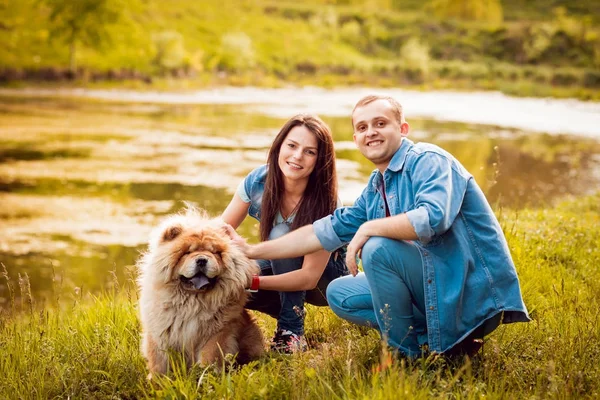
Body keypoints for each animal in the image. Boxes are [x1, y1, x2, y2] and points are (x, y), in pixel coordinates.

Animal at [139, 206, 266, 376]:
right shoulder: (159, 331)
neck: (192, 303)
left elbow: (210, 357)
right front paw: (158, 380)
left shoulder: (217, 333)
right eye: (187, 252)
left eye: (215, 253)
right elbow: (159, 361)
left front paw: (206, 376)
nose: (201, 260)